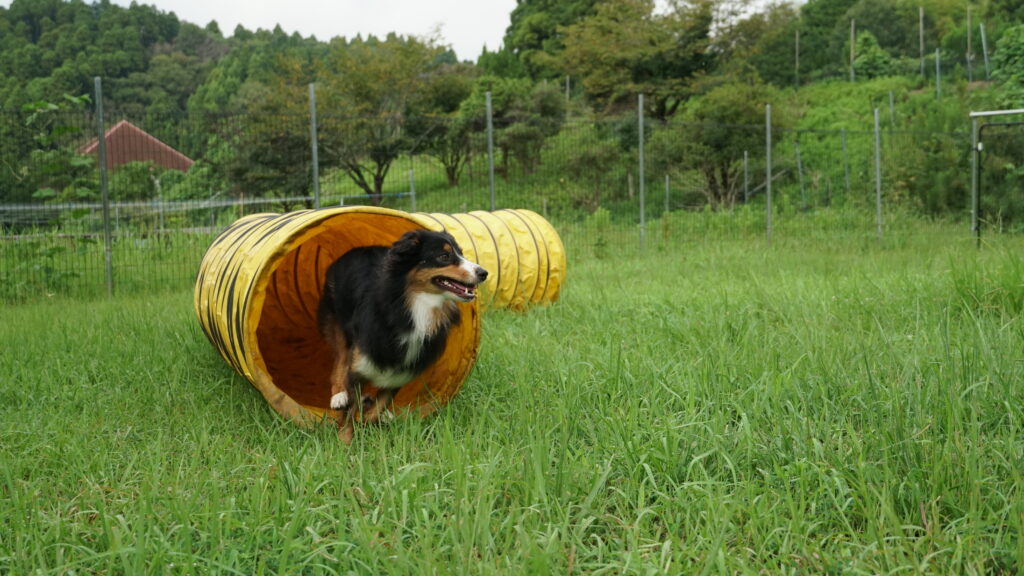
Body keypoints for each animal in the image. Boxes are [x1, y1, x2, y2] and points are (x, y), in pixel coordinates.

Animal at [315, 227, 487, 438]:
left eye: (461, 253)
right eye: (444, 256)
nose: (484, 273)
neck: (417, 305)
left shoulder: (400, 373)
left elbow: (377, 408)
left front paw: (370, 422)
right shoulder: (359, 365)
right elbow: (349, 411)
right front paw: (344, 441)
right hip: (336, 318)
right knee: (340, 358)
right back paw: (339, 395)